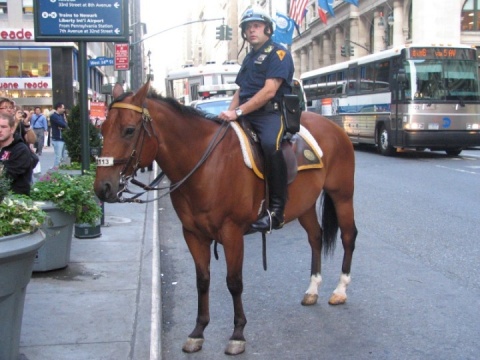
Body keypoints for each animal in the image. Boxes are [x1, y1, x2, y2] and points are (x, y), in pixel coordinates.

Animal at [94, 81, 356, 354]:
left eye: (129, 130)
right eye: (102, 128)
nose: (103, 187)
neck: (205, 165)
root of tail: (334, 127)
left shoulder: (232, 234)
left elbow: (234, 282)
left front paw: (238, 333)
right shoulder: (193, 234)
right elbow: (203, 280)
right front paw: (198, 331)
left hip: (342, 195)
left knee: (349, 237)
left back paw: (340, 290)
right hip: (304, 205)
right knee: (315, 237)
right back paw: (313, 289)